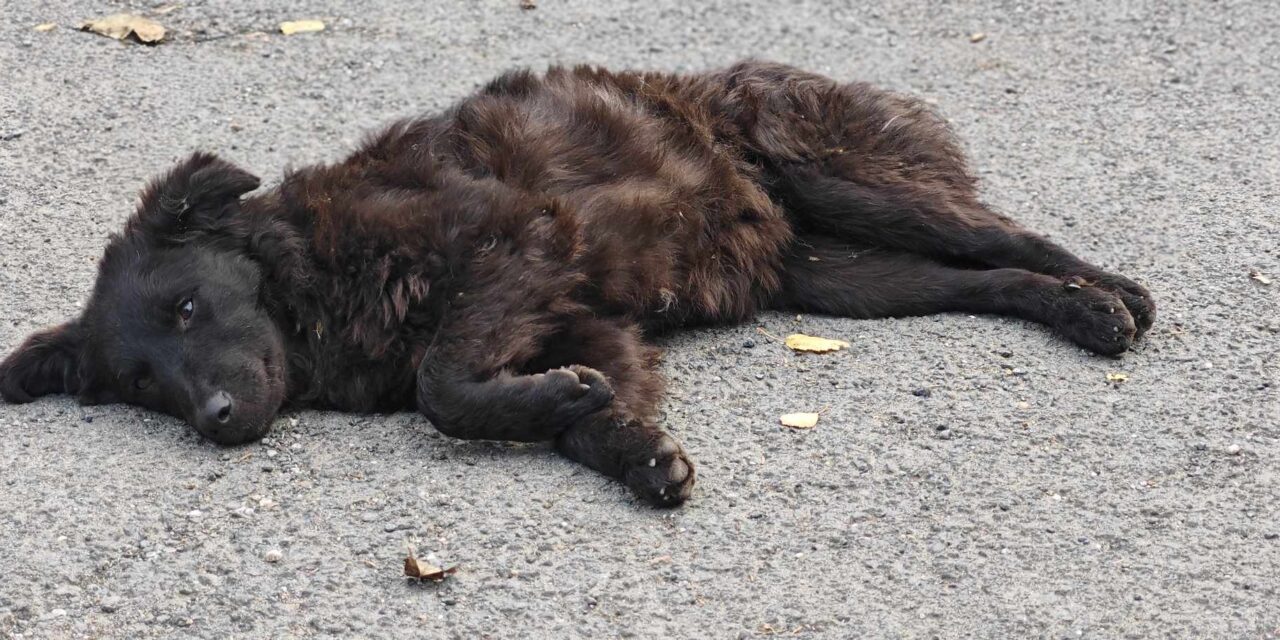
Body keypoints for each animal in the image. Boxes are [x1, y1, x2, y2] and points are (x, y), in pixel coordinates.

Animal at [0, 62, 1157, 506]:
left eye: (190, 307)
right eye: (143, 385)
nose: (215, 418)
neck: (315, 268)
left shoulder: (519, 241)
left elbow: (443, 383)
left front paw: (560, 407)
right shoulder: (592, 322)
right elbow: (573, 410)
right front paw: (626, 445)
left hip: (860, 191)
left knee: (1014, 233)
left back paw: (1110, 301)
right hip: (844, 277)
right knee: (989, 277)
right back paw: (1069, 312)